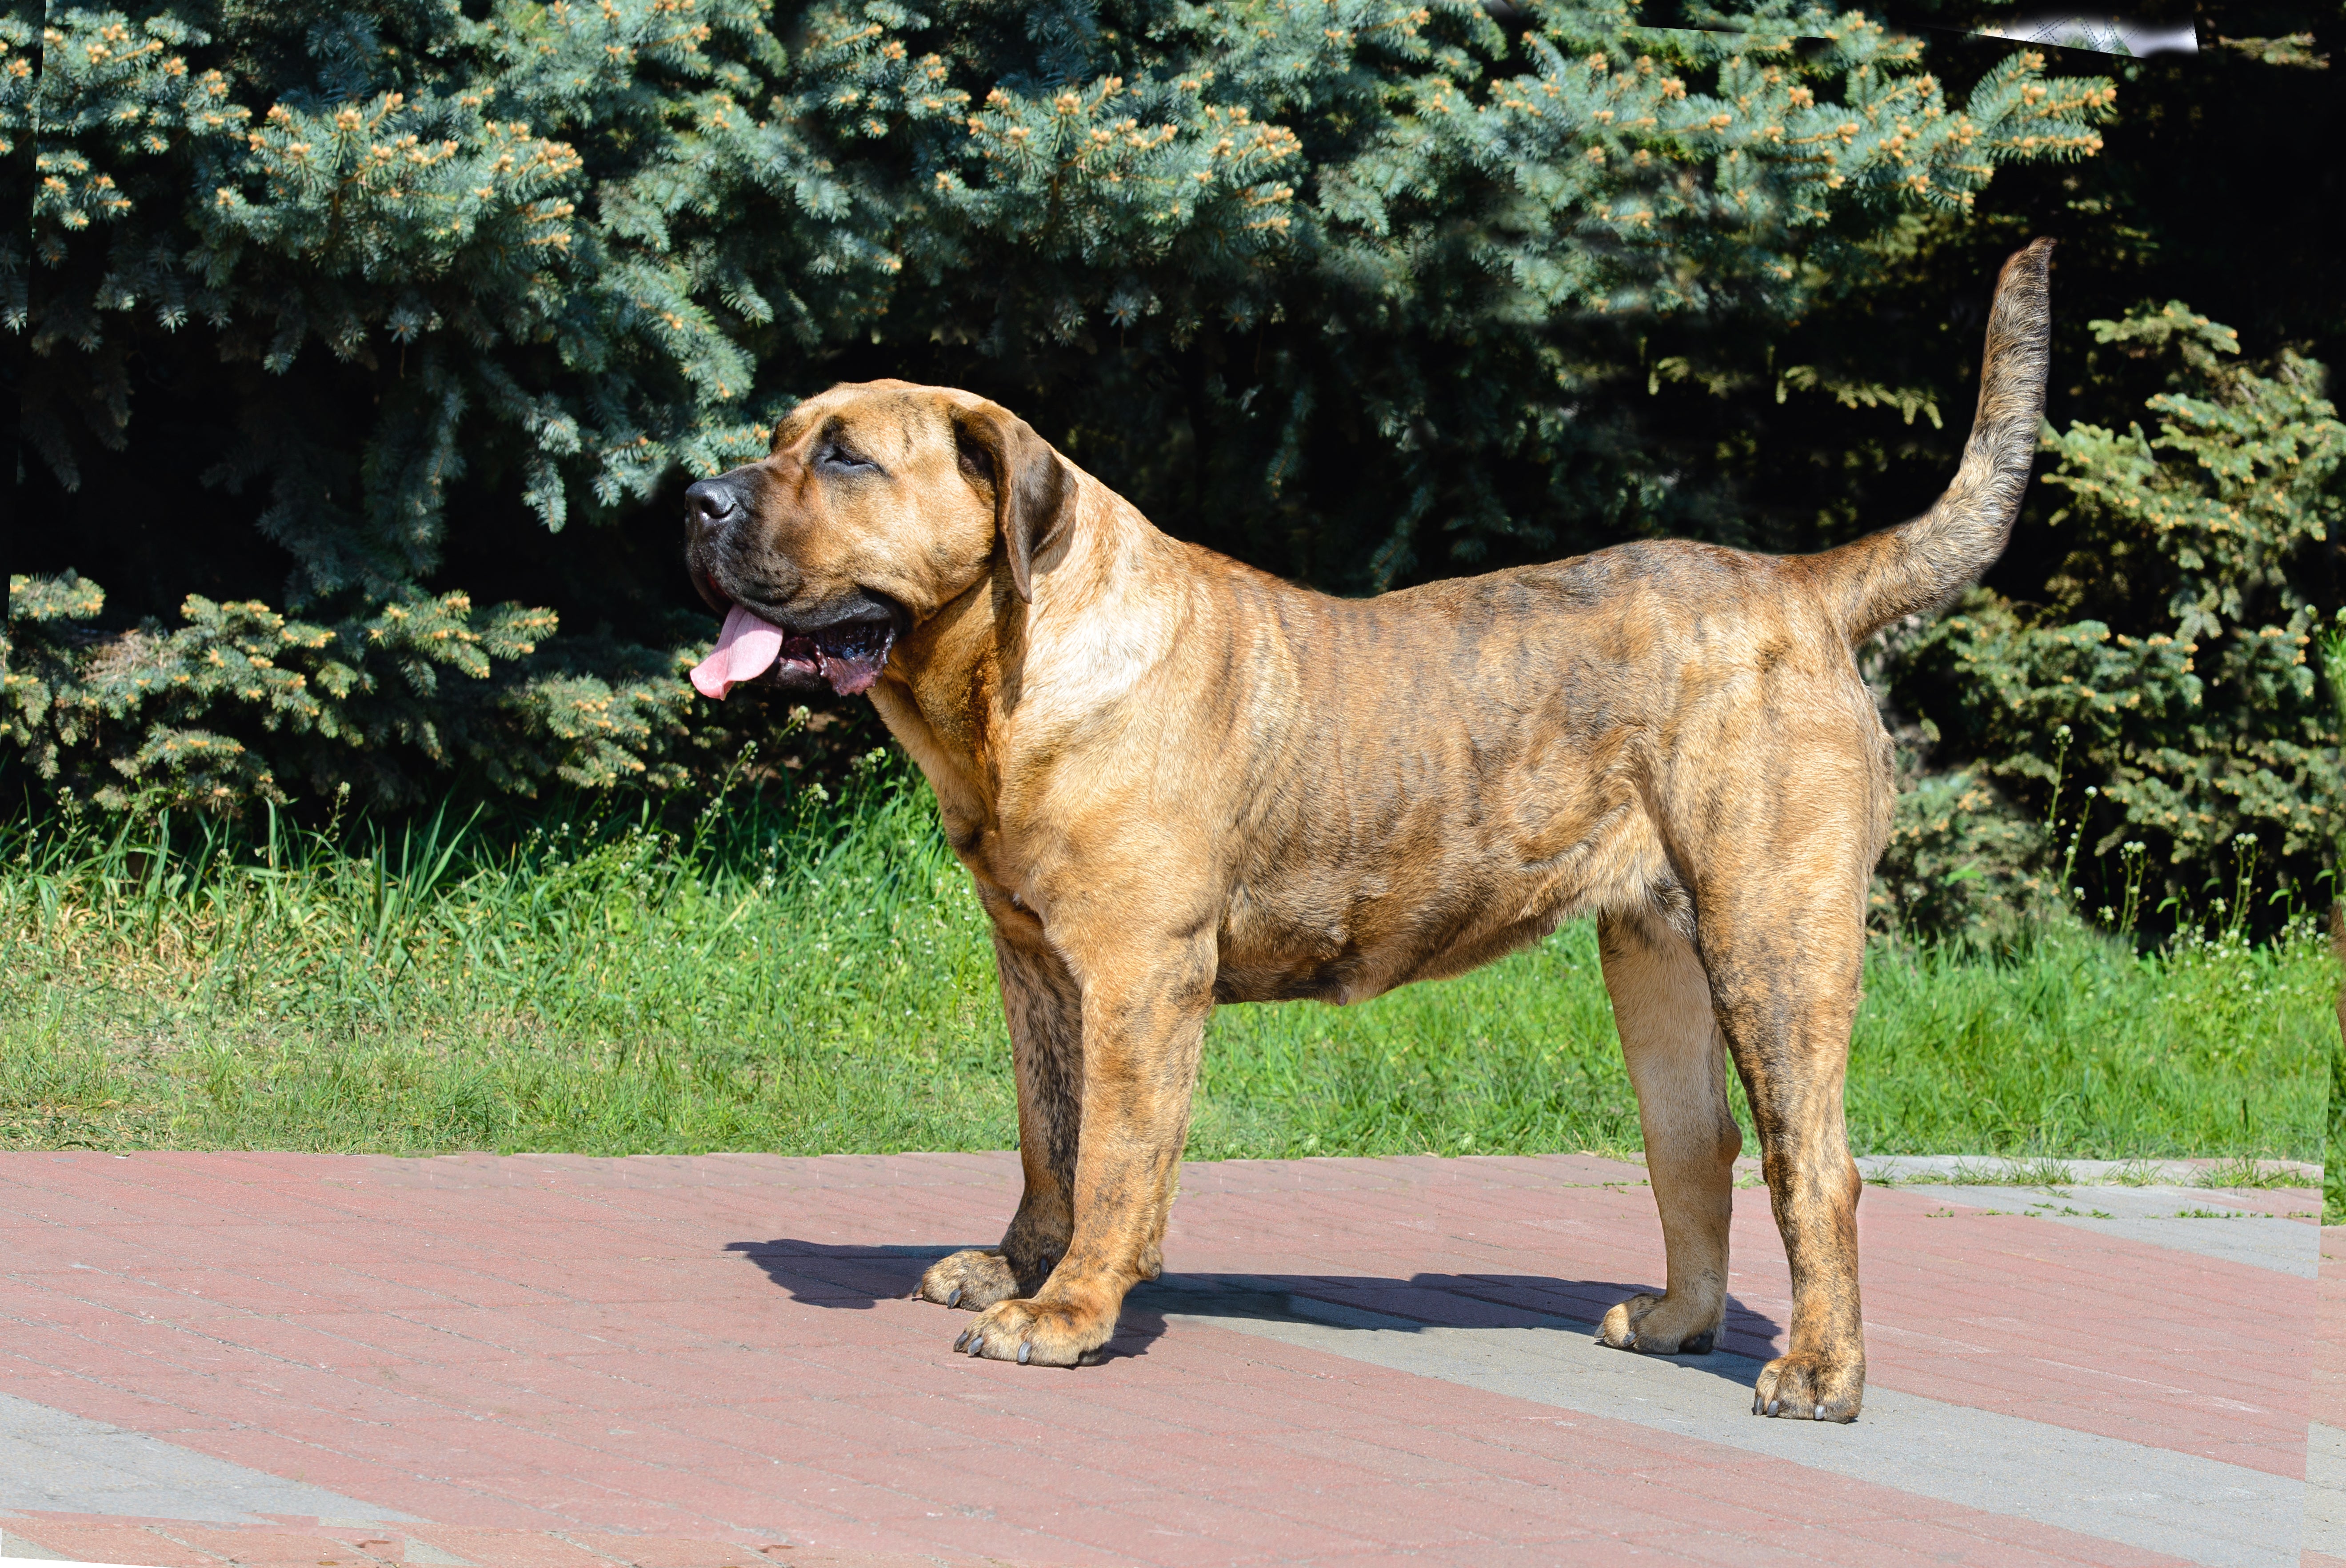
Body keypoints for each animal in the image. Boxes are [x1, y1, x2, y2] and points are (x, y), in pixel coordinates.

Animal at [680, 236, 2055, 1417]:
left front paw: (1064, 1312)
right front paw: (1018, 1265)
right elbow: (1046, 1137)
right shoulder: (1035, 966)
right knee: (1693, 1144)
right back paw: (1675, 1322)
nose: (694, 499)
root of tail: (1801, 585)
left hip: (1772, 938)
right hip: (1654, 953)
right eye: (780, 441)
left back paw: (1819, 1373)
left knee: (1808, 1164)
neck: (1008, 678)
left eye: (846, 459)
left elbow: (1114, 1155)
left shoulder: (1135, 978)